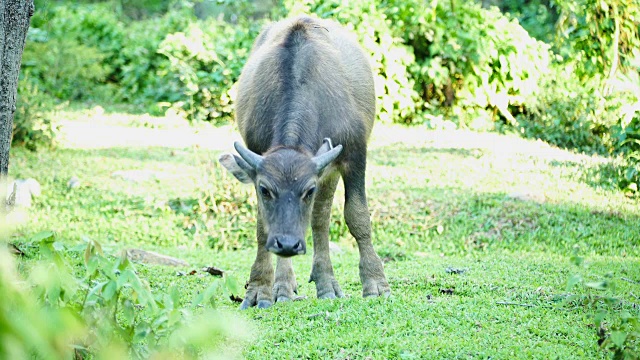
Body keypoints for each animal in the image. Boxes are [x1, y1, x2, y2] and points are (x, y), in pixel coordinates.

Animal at [220, 15, 390, 310]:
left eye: (308, 190)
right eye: (265, 190)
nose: (288, 245)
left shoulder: (354, 156)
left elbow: (357, 217)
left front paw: (375, 283)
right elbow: (262, 227)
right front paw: (260, 289)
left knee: (320, 219)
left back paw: (326, 284)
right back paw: (284, 286)